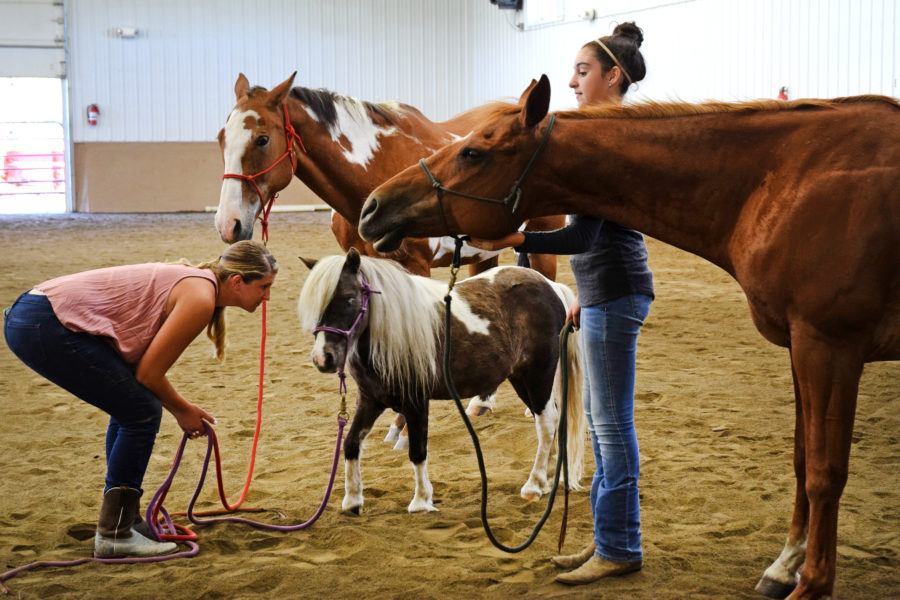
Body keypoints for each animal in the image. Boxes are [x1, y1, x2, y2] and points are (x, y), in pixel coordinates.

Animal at [215, 72, 568, 424]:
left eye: (262, 139)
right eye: (221, 138)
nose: (228, 223)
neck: (373, 171)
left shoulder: (413, 267)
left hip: (543, 247)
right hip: (483, 256)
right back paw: (482, 401)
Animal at [298, 248, 588, 516]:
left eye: (349, 299)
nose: (323, 359)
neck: (391, 334)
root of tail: (551, 286)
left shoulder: (416, 403)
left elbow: (417, 451)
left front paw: (421, 501)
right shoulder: (370, 400)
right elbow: (350, 443)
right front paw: (352, 500)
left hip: (538, 376)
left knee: (547, 423)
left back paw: (534, 484)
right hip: (520, 379)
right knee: (553, 423)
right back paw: (548, 480)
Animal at [358, 75, 900, 600]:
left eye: (473, 151)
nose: (371, 207)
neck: (783, 181)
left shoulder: (829, 346)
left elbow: (826, 472)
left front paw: (810, 585)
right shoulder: (799, 346)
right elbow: (802, 461)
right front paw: (784, 567)